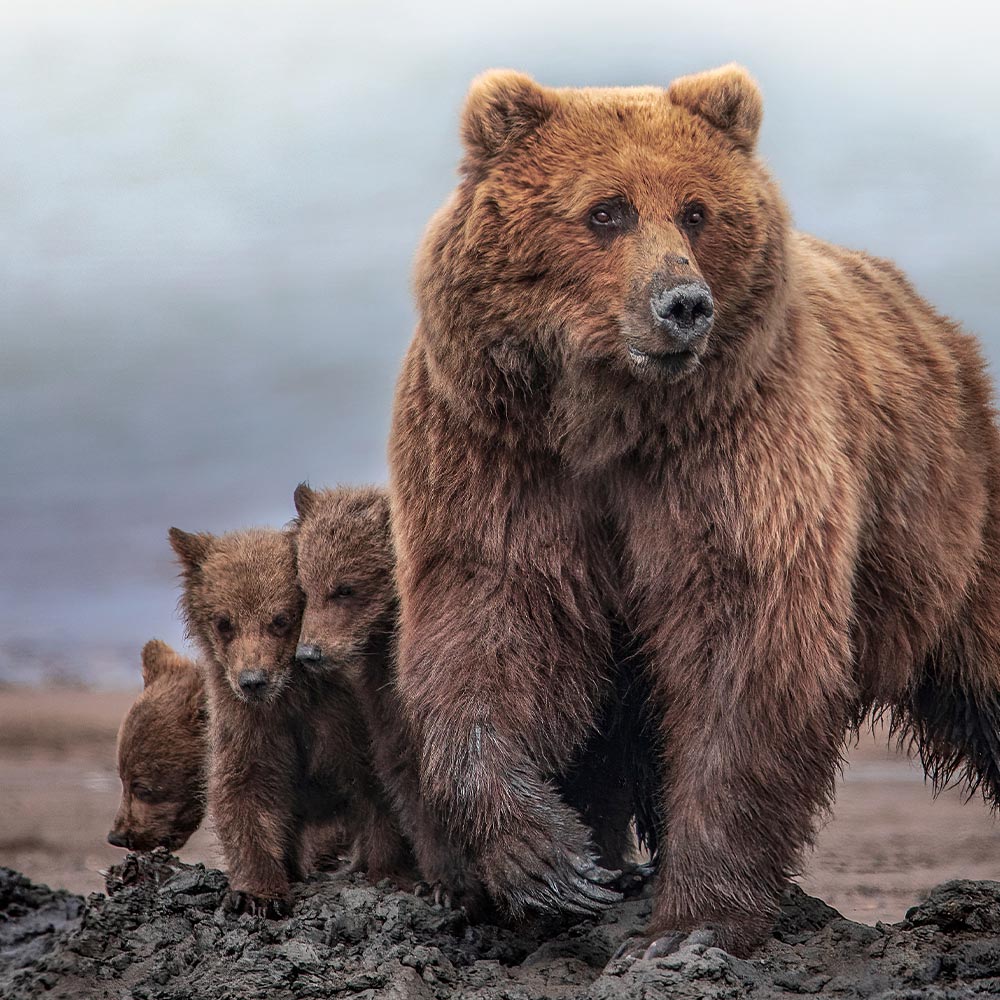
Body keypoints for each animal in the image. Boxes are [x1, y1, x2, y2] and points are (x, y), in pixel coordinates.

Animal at [168, 525, 413, 916]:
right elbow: (245, 789)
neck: (291, 693)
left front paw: (388, 872)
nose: (253, 680)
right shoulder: (250, 722)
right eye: (224, 622)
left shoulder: (344, 717)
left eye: (280, 619)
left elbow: (379, 789)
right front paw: (258, 894)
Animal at [387, 64, 1000, 957]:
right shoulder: (498, 453)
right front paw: (551, 863)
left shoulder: (731, 449)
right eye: (606, 210)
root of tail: (942, 326)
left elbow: (738, 649)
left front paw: (689, 923)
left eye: (697, 210)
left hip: (944, 520)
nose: (683, 303)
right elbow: (492, 623)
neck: (607, 419)